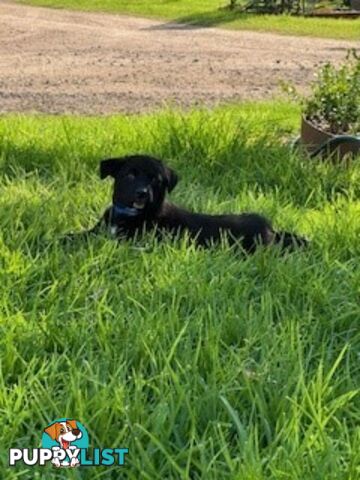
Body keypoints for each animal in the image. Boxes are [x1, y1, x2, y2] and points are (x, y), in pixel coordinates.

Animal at [88, 155, 308, 253]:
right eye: (130, 175)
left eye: (156, 180)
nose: (142, 194)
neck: (128, 215)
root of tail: (272, 230)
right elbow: (82, 236)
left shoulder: (130, 241)